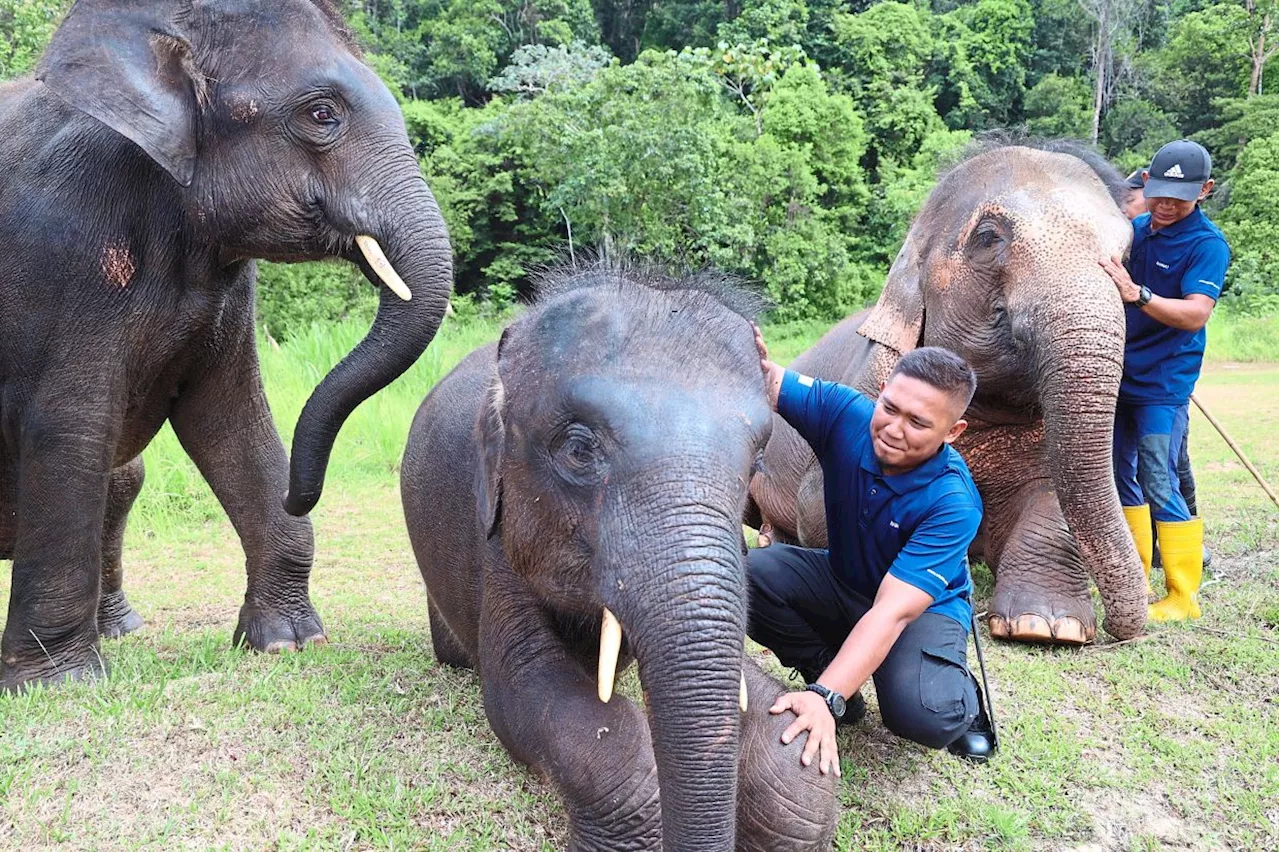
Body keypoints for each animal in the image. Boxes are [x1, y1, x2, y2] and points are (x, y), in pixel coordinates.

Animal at [0, 0, 455, 685]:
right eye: (322, 114)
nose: (301, 493)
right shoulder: (70, 253)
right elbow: (72, 428)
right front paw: (59, 684)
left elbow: (228, 416)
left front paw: (287, 643)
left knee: (124, 477)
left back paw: (123, 630)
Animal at [401, 260, 839, 849]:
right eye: (578, 449)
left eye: (756, 462)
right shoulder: (495, 545)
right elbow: (522, 690)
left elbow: (788, 761)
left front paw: (803, 722)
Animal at [747, 140, 1146, 644]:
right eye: (988, 238)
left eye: (1126, 253)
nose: (1122, 627)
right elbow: (818, 505)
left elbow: (1053, 497)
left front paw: (1046, 625)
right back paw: (767, 539)